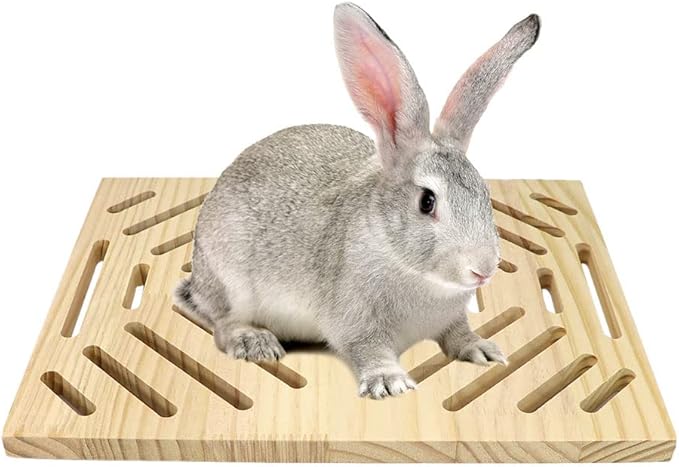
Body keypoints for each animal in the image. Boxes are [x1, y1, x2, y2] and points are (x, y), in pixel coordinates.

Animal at [175, 3, 540, 399]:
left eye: (485, 194)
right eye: (427, 202)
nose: (483, 269)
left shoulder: (451, 317)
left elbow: (458, 333)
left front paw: (482, 350)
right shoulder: (353, 319)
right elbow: (367, 347)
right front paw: (389, 381)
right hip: (230, 280)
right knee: (224, 324)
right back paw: (255, 341)